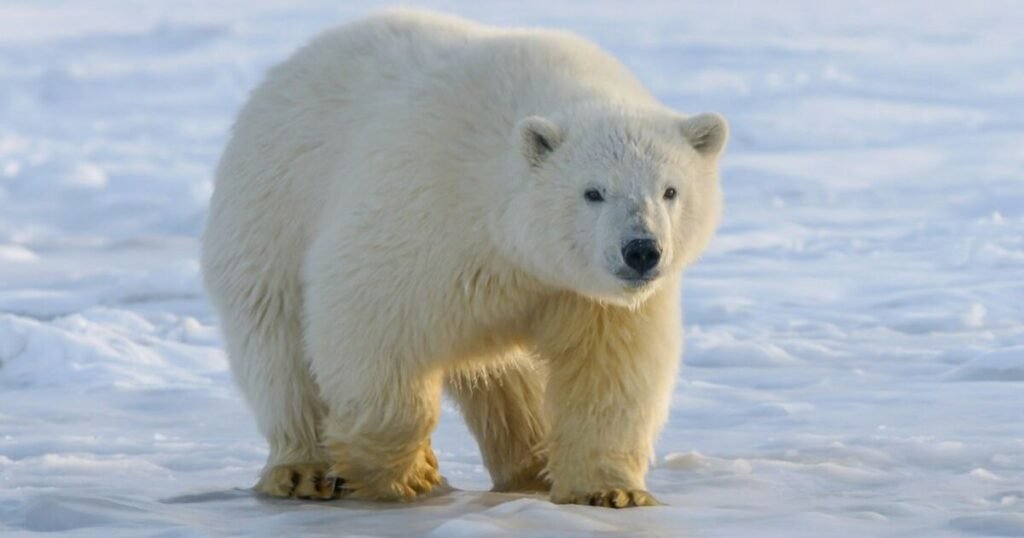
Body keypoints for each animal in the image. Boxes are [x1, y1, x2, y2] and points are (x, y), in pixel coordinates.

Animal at [201, 8, 727, 508]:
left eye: (670, 190)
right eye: (593, 191)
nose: (641, 250)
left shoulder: (584, 294)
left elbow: (609, 371)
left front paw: (611, 491)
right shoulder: (424, 209)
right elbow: (367, 320)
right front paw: (408, 472)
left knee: (508, 381)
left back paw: (530, 466)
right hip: (271, 213)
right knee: (279, 348)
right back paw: (302, 470)